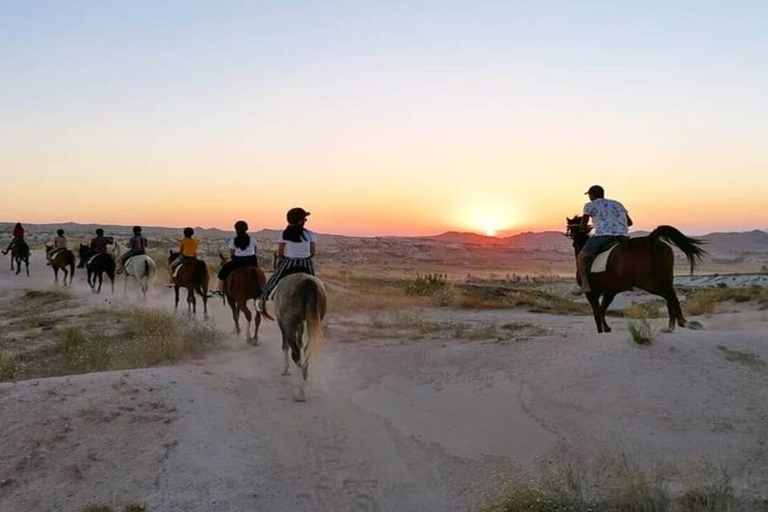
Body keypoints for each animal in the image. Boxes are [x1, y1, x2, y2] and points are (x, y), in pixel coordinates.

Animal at [264, 274, 328, 402]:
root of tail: (308, 282)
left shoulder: (282, 323)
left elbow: (285, 346)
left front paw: (286, 370)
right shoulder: (300, 324)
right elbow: (300, 342)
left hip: (288, 323)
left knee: (296, 354)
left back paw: (301, 393)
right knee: (306, 350)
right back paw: (304, 377)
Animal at [564, 217, 708, 334]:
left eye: (570, 226)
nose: (568, 235)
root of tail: (651, 239)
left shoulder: (593, 293)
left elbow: (597, 311)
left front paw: (601, 330)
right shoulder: (608, 292)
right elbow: (601, 310)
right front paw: (607, 329)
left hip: (649, 283)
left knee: (670, 297)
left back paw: (682, 323)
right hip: (664, 279)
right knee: (670, 299)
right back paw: (672, 326)